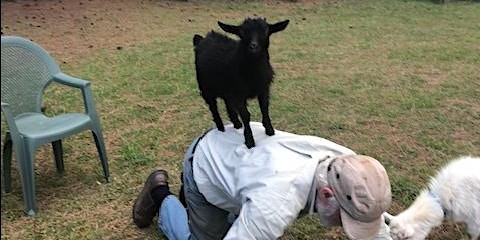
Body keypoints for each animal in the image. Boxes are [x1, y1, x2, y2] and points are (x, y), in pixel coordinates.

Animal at [192, 17, 288, 148]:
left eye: (265, 31)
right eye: (242, 33)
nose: (253, 46)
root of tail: (203, 39)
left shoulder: (263, 89)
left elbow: (264, 108)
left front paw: (270, 131)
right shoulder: (239, 94)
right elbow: (246, 115)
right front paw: (249, 141)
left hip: (226, 88)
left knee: (228, 103)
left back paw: (237, 124)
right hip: (206, 87)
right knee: (213, 108)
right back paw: (221, 127)